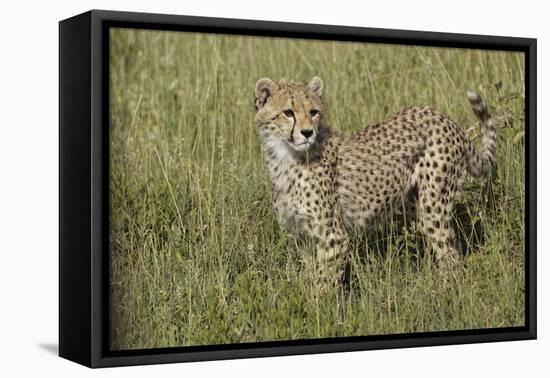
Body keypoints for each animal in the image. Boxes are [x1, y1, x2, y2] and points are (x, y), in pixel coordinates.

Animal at [256, 76, 498, 268]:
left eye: (313, 112)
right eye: (288, 113)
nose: (307, 132)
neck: (286, 158)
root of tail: (443, 117)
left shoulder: (333, 237)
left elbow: (322, 283)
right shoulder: (302, 237)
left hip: (433, 204)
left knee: (450, 254)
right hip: (415, 202)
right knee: (454, 244)